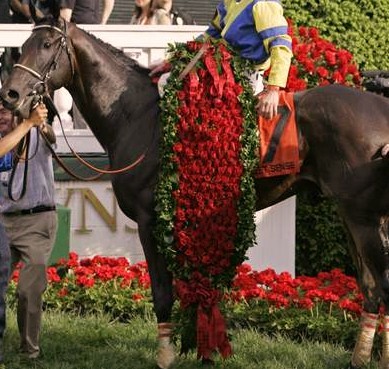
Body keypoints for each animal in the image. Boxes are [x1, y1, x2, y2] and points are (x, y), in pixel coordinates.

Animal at [0, 15, 388, 368]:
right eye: (24, 44)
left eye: (46, 45)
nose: (11, 94)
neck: (138, 118)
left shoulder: (149, 220)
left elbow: (162, 292)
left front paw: (166, 355)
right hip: (351, 214)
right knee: (371, 289)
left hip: (363, 218)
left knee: (381, 285)